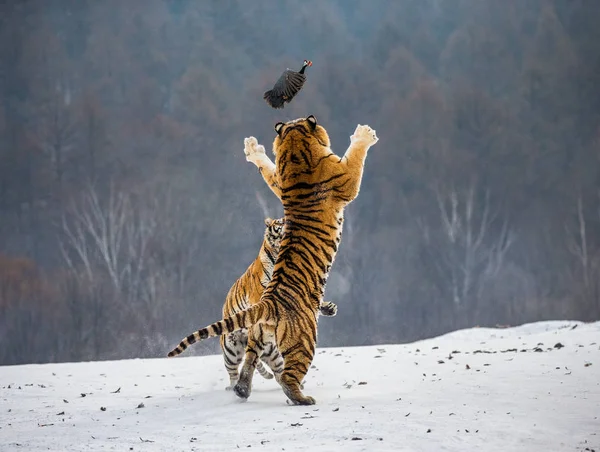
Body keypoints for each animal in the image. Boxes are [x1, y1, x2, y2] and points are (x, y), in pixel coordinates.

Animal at [168, 215, 338, 388]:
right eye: (281, 222)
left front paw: (329, 308)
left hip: (270, 352)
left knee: (277, 370)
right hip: (231, 351)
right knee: (233, 372)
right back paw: (233, 387)